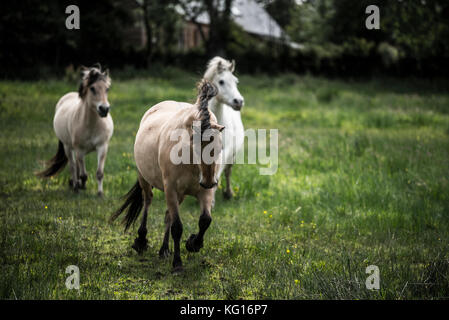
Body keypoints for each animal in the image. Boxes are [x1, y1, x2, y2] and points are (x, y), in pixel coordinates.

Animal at [37, 64, 114, 195]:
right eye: (92, 88)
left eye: (107, 89)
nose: (104, 109)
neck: (92, 125)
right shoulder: (79, 149)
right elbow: (83, 174)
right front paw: (79, 186)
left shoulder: (102, 147)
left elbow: (99, 173)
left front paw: (100, 193)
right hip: (68, 147)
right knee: (73, 166)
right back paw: (75, 186)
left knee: (77, 166)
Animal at [112, 81, 224, 272]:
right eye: (196, 147)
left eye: (219, 147)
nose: (209, 181)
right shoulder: (170, 188)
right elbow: (177, 227)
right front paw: (177, 264)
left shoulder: (204, 191)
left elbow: (205, 220)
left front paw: (193, 244)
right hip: (145, 178)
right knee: (148, 201)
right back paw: (141, 241)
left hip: (180, 194)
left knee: (167, 216)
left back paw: (164, 250)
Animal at [203, 56, 245, 199]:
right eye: (221, 81)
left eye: (236, 81)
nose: (239, 101)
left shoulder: (225, 152)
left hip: (231, 156)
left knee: (227, 172)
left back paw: (228, 193)